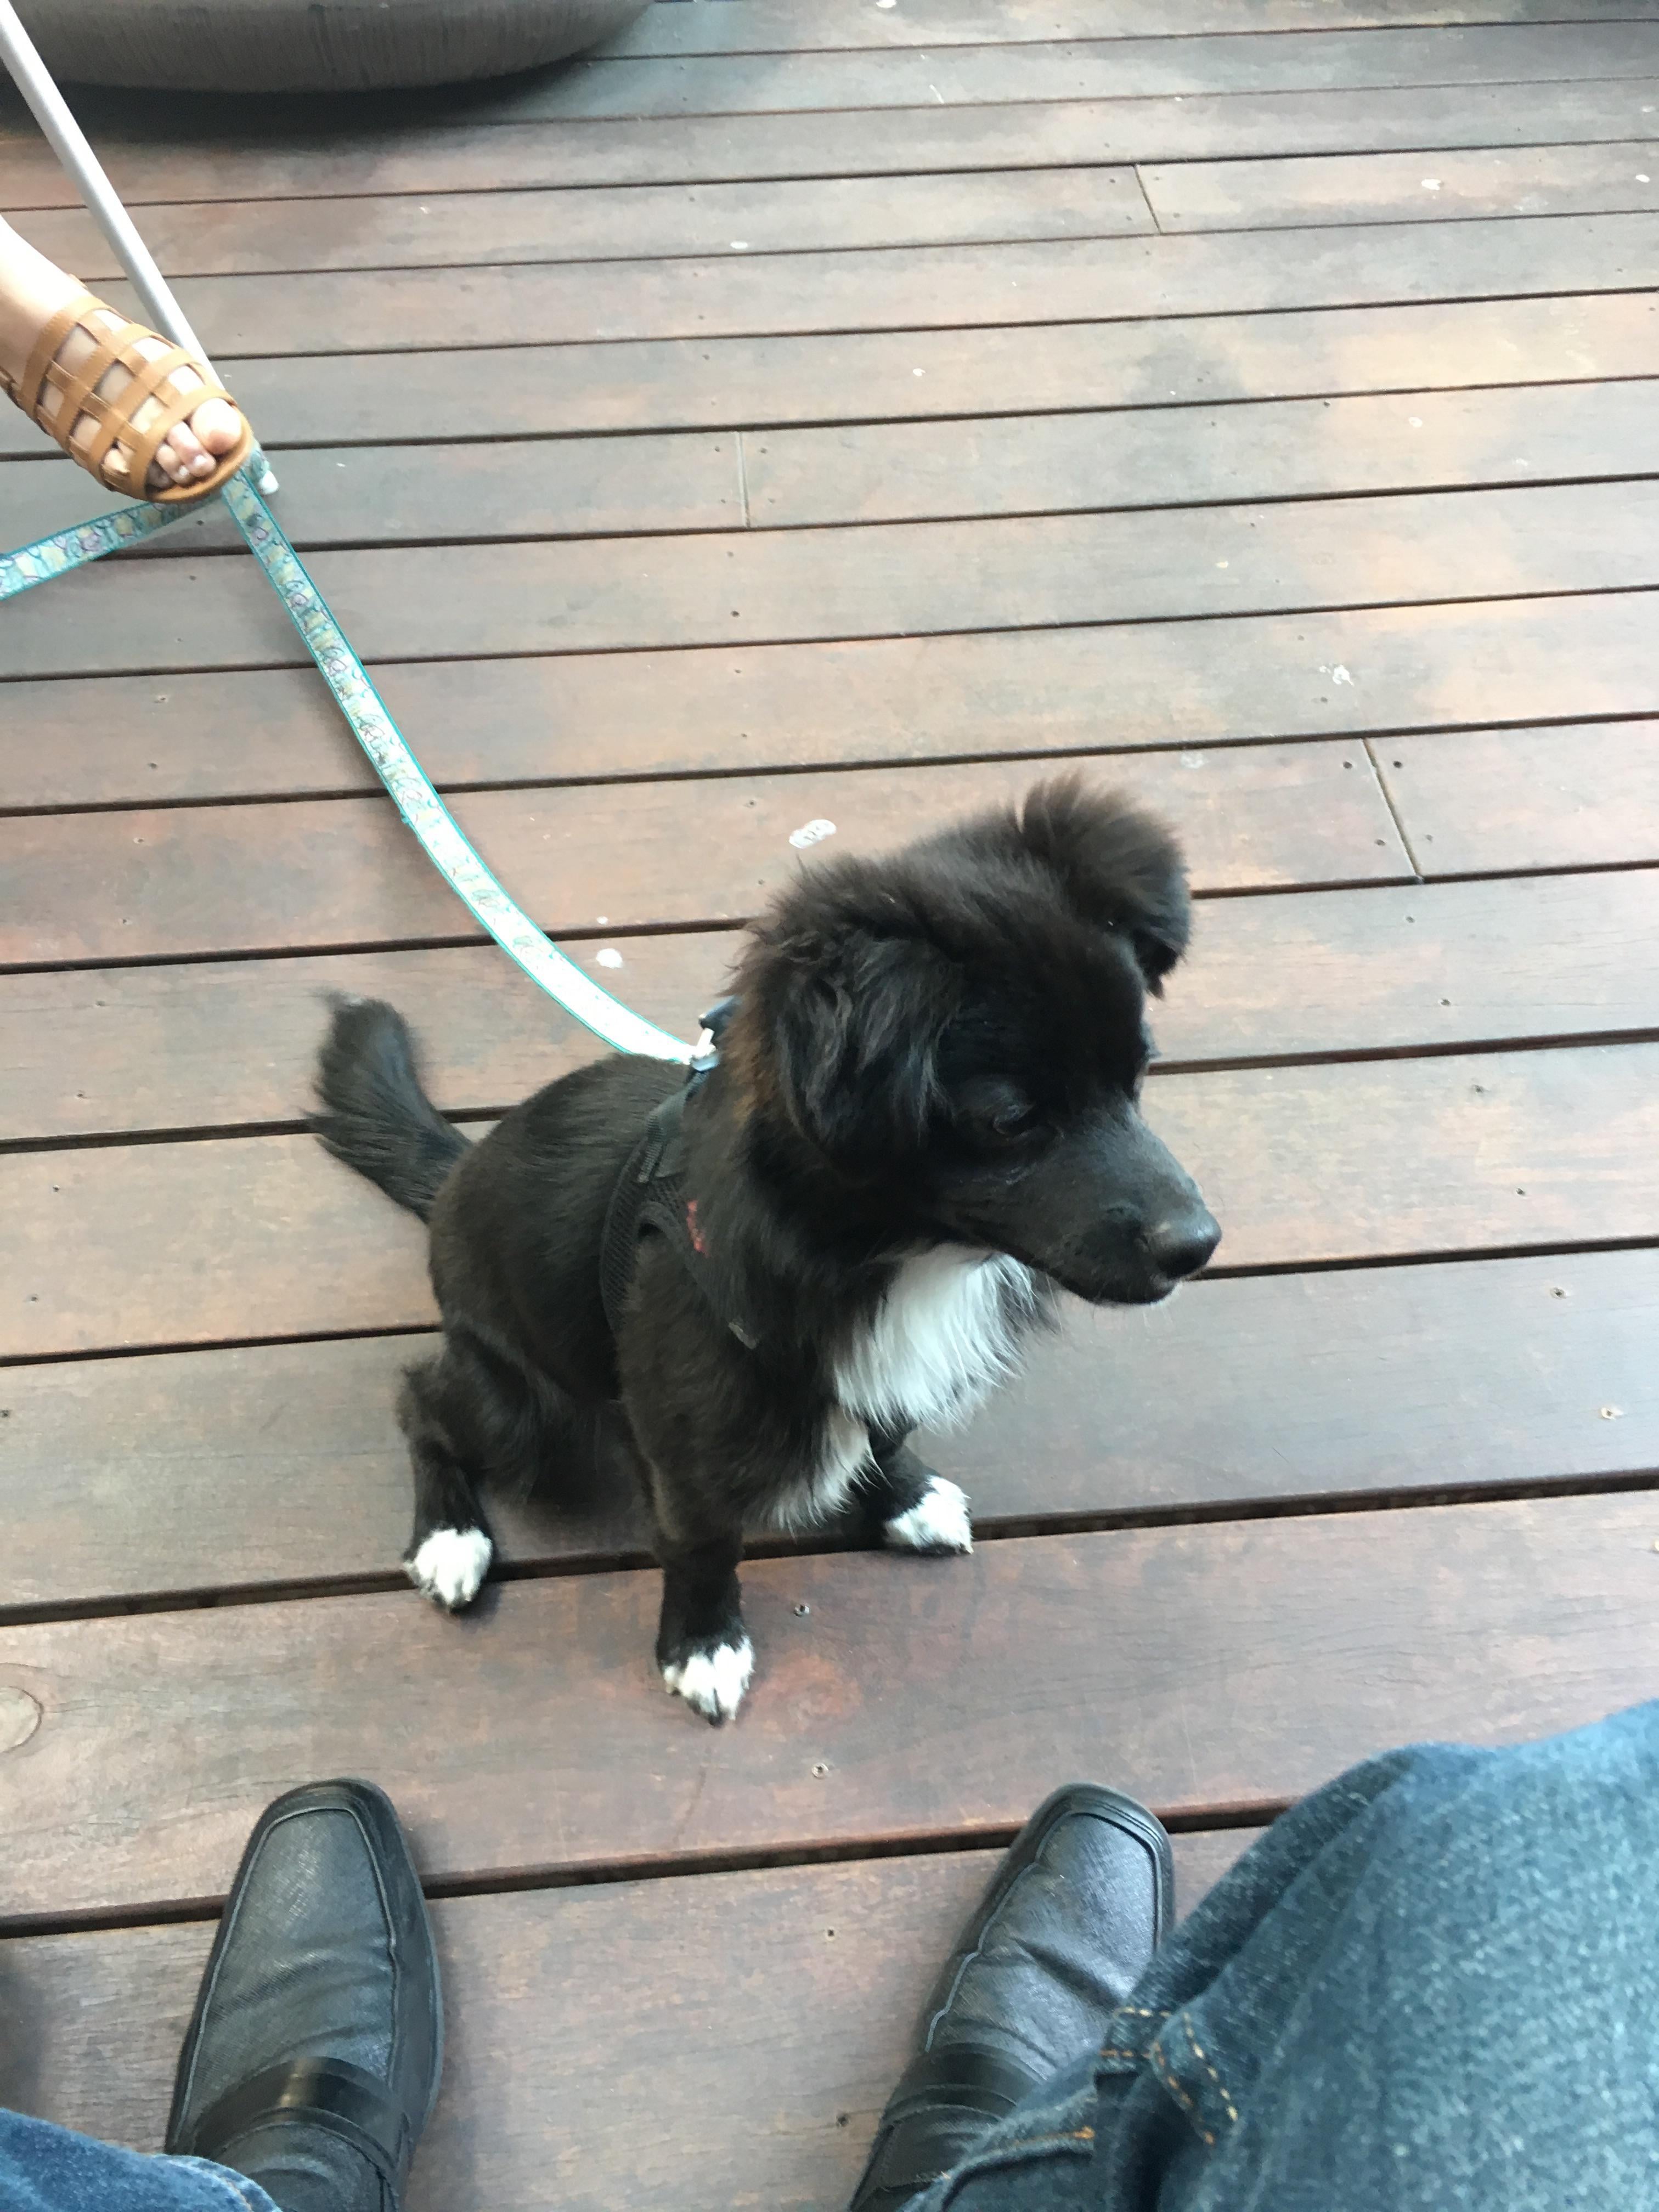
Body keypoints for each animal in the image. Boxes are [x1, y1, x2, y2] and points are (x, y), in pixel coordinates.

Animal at [311, 776, 1219, 1724]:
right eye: (1011, 1121)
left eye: (1139, 1075)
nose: (1198, 1245)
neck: (897, 1256)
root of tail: (455, 1174)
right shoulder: (685, 1434)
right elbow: (702, 1542)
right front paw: (703, 1645)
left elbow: (883, 1434)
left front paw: (903, 1498)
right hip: (525, 1409)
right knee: (420, 1399)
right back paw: (451, 1537)